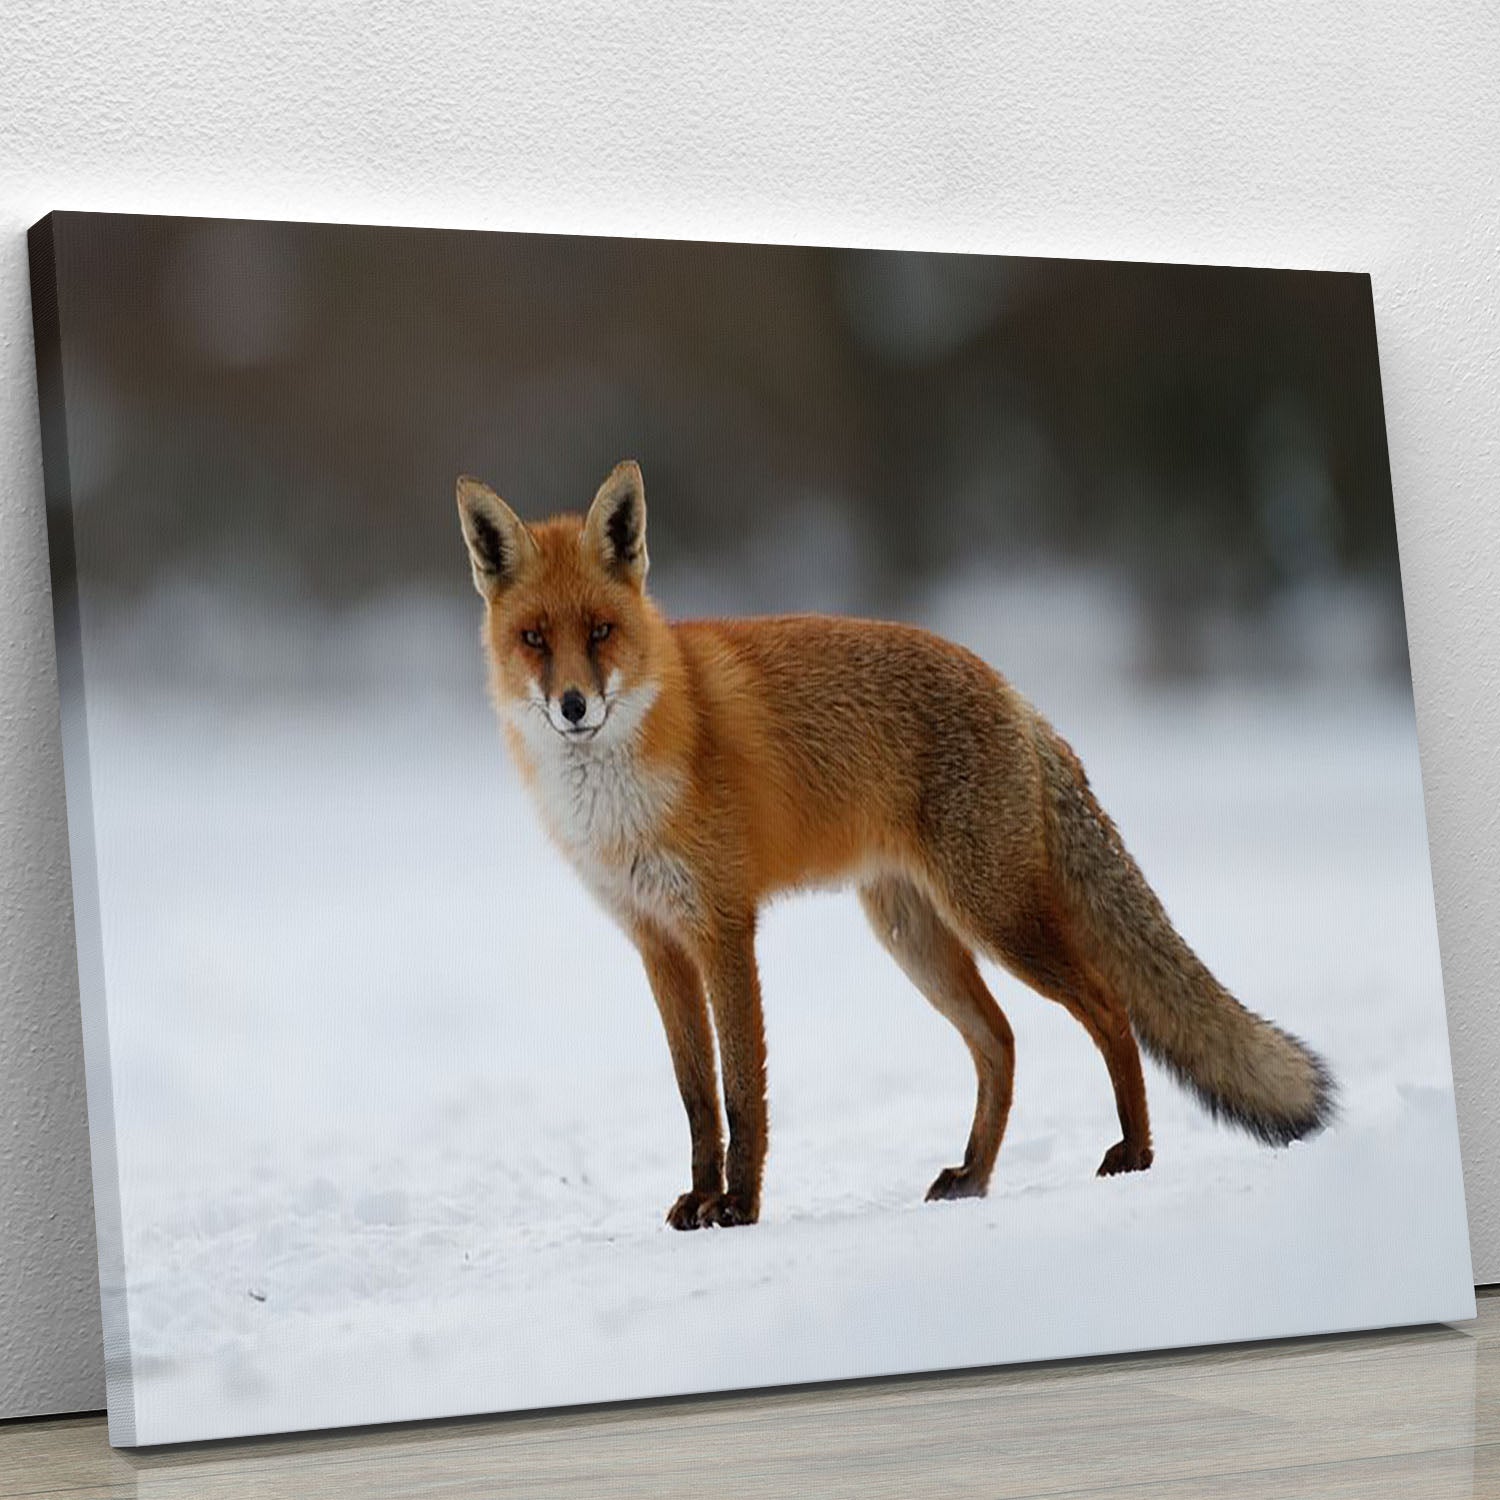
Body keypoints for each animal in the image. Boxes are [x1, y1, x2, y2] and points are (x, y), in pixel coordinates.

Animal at [456, 459, 1334, 1230]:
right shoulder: (657, 942)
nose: (573, 706)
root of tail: (1016, 695)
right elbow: (697, 1096)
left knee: (1109, 1008)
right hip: (912, 932)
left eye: (601, 631)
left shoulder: (724, 926)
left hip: (996, 916)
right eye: (535, 639)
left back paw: (1135, 1152)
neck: (619, 802)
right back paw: (974, 1175)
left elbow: (743, 1091)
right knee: (1001, 1040)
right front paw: (701, 1200)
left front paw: (739, 1208)